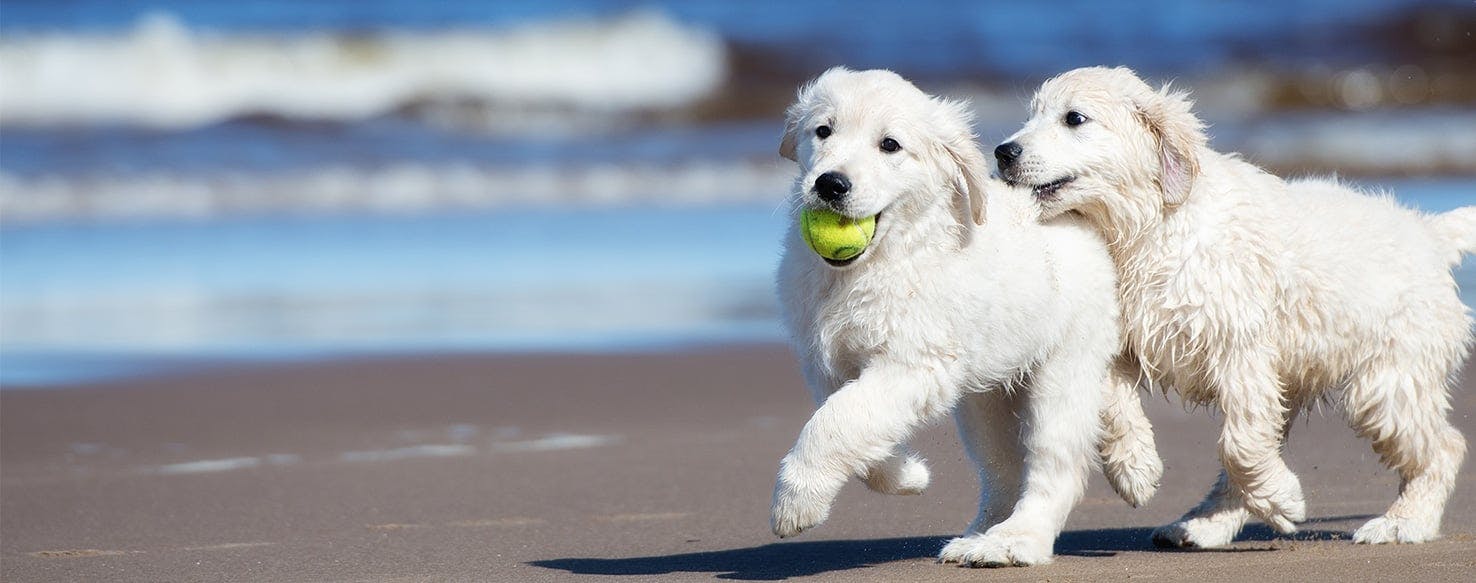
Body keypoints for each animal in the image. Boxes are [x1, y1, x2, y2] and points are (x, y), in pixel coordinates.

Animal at [773, 66, 1163, 569]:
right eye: (823, 131)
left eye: (890, 145)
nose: (830, 184)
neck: (876, 264)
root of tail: (1084, 219)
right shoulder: (828, 365)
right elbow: (854, 420)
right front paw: (906, 474)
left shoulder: (914, 362)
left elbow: (838, 420)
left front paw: (796, 501)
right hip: (986, 399)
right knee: (1003, 468)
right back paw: (983, 533)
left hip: (1065, 370)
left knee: (1055, 466)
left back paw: (1016, 540)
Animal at [997, 67, 1476, 549]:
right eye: (1030, 114)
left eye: (1074, 118)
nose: (1003, 152)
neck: (1151, 227)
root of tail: (1430, 232)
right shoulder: (1120, 341)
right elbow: (1114, 406)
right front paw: (1136, 469)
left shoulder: (1241, 348)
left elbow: (1239, 446)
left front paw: (1284, 499)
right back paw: (1203, 524)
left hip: (1387, 383)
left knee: (1446, 447)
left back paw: (1404, 522)